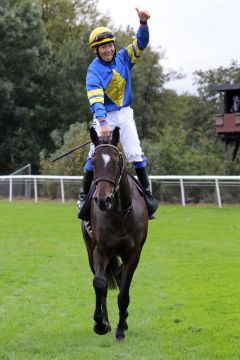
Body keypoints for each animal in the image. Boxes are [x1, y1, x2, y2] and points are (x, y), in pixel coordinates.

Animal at [80, 126, 148, 340]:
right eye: (93, 163)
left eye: (117, 161)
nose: (103, 200)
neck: (119, 215)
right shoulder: (100, 250)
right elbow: (99, 284)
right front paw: (101, 323)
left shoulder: (133, 254)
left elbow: (124, 292)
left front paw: (120, 329)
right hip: (90, 250)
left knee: (119, 278)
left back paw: (123, 321)